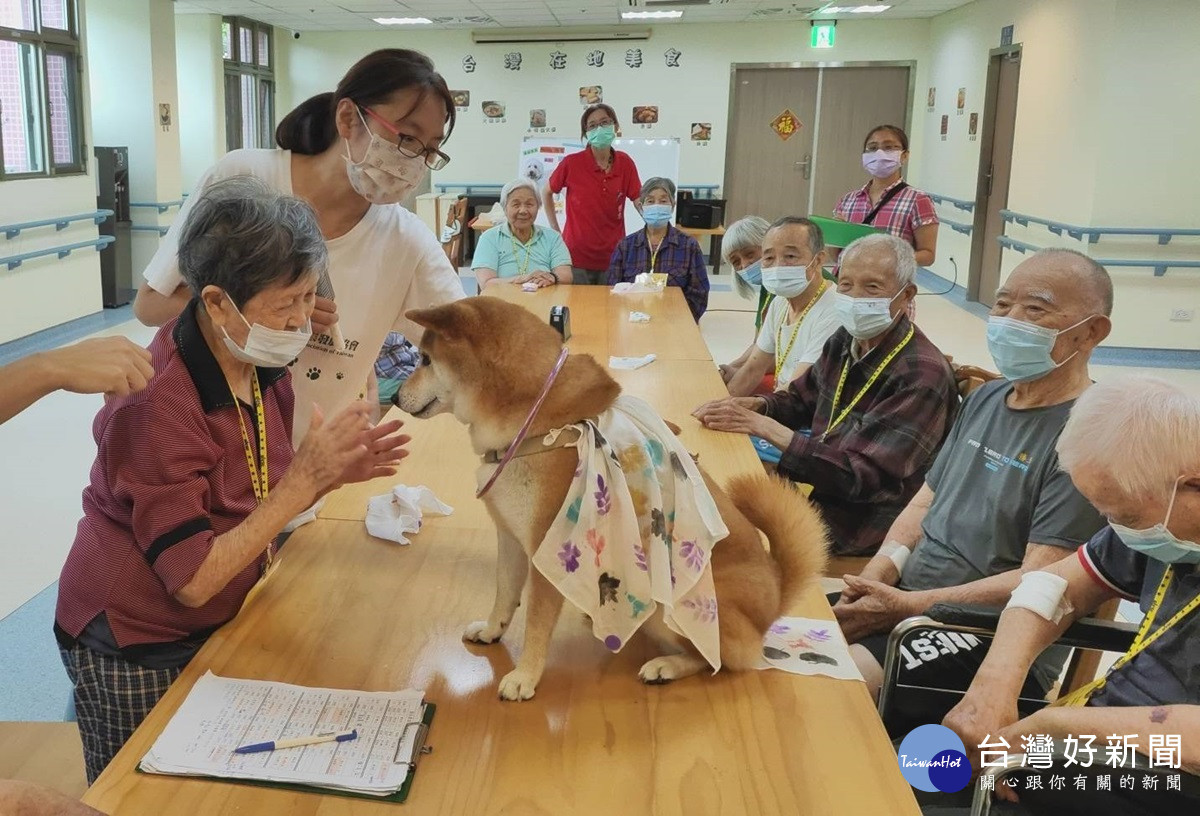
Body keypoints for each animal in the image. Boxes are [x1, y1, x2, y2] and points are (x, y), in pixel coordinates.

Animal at [393, 297, 825, 700]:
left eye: (426, 360)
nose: (395, 397)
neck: (537, 427)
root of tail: (774, 601)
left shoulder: (549, 549)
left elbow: (536, 622)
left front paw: (525, 676)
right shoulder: (511, 536)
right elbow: (505, 594)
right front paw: (491, 629)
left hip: (674, 602)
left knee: (717, 660)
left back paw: (666, 665)